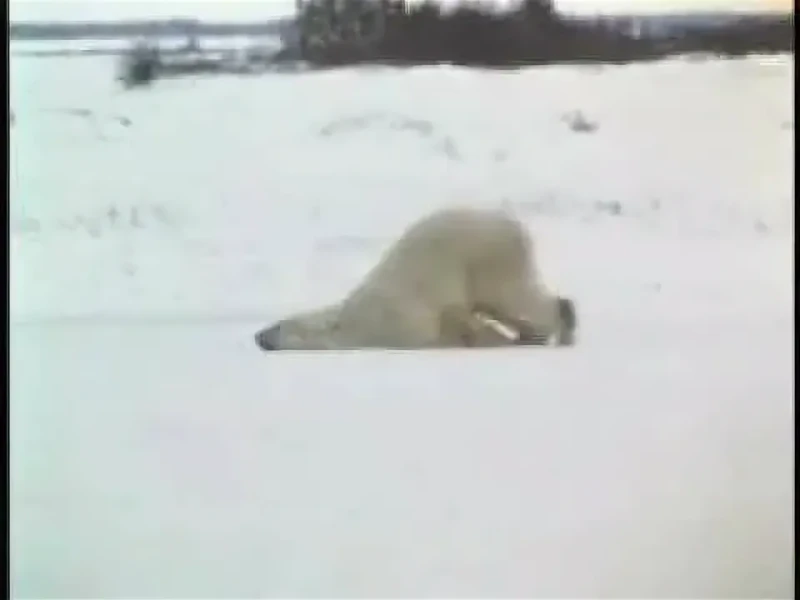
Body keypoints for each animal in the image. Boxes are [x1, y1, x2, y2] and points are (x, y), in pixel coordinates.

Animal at [255, 206, 577, 351]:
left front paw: (479, 337)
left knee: (513, 298)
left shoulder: (398, 323)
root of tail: (512, 223)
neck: (349, 321)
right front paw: (483, 336)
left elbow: (442, 328)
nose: (259, 335)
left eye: (279, 325)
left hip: (487, 258)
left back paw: (558, 324)